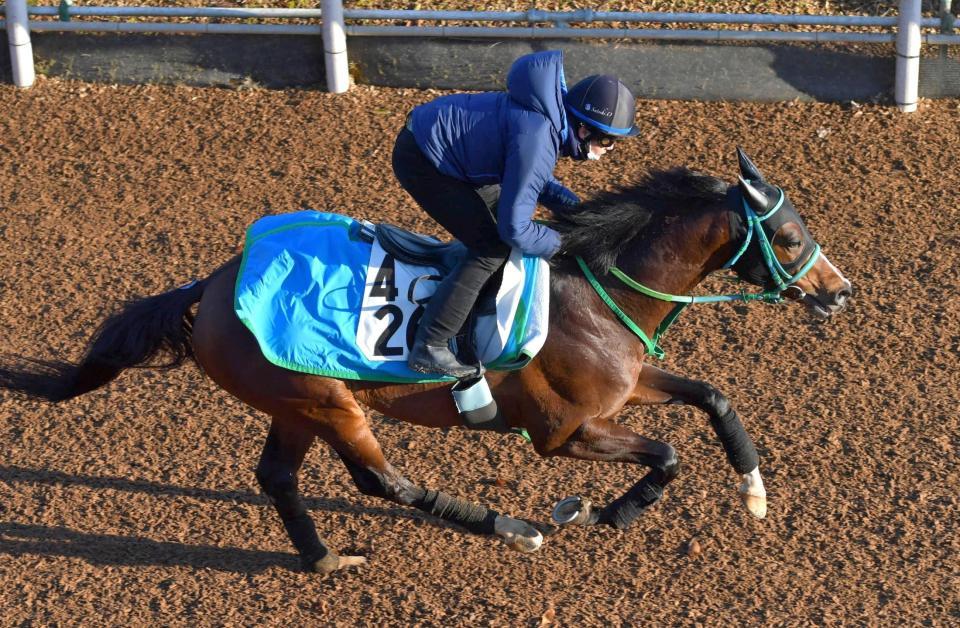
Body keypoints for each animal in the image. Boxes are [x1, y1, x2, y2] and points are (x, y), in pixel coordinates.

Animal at [0, 148, 852, 576]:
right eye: (788, 236)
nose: (838, 292)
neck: (598, 285)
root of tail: (208, 286)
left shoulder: (627, 386)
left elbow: (713, 397)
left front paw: (754, 492)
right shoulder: (563, 432)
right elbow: (667, 454)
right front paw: (599, 511)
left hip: (295, 404)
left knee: (277, 477)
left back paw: (324, 560)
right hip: (326, 401)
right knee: (382, 482)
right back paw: (512, 530)